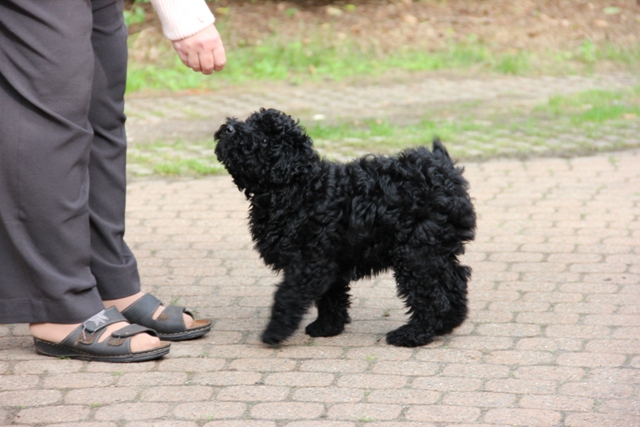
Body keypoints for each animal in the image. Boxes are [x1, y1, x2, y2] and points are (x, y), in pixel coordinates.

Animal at [214, 108, 476, 347]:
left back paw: (413, 335)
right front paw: (327, 327)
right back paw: (448, 323)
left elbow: (287, 296)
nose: (228, 128)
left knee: (432, 296)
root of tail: (445, 172)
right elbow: (331, 296)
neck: (300, 188)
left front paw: (275, 332)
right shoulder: (328, 259)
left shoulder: (309, 262)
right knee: (456, 280)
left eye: (265, 139)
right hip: (435, 250)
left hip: (415, 254)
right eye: (249, 121)